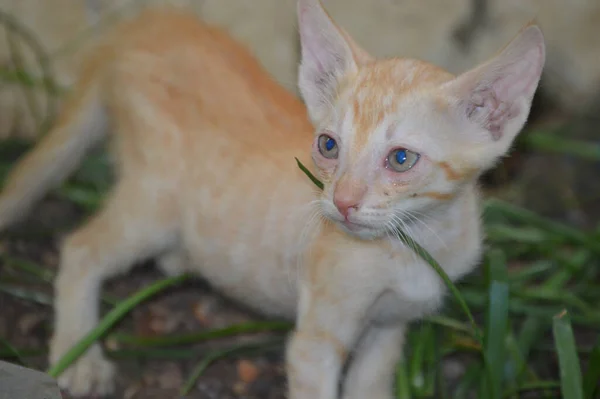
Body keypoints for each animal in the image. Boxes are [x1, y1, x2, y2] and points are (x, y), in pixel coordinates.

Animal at [0, 1, 544, 398]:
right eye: (329, 146)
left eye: (401, 159)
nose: (342, 203)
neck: (414, 244)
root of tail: (146, 24)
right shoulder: (317, 338)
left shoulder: (390, 326)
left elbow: (369, 385)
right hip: (152, 202)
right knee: (79, 247)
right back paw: (76, 353)